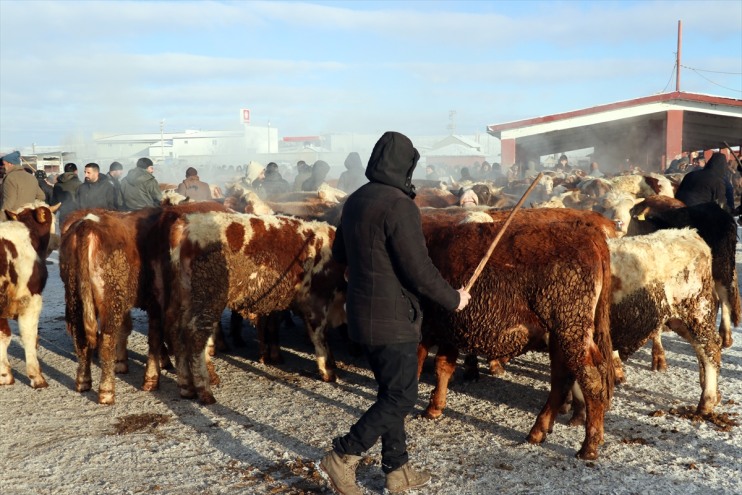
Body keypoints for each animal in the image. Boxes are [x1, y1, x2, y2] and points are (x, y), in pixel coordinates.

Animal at [0, 201, 58, 388]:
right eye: (53, 220)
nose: (57, 241)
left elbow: (3, 336)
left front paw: (4, 375)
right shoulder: (31, 300)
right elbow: (28, 336)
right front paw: (36, 376)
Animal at [167, 211, 348, 404]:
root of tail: (188, 222)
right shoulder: (317, 301)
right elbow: (320, 336)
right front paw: (328, 371)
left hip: (187, 300)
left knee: (179, 334)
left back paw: (187, 387)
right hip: (208, 299)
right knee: (196, 337)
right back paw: (205, 390)